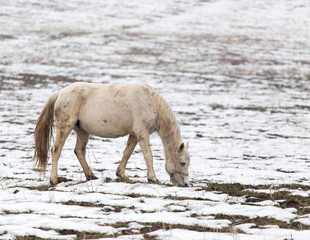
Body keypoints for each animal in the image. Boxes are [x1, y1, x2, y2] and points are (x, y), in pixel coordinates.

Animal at [32, 83, 190, 188]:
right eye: (183, 163)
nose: (186, 184)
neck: (150, 103)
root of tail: (60, 92)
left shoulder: (134, 135)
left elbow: (127, 153)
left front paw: (121, 174)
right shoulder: (142, 133)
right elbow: (148, 156)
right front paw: (153, 178)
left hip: (82, 131)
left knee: (79, 151)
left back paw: (91, 176)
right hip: (65, 127)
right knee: (56, 150)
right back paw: (54, 180)